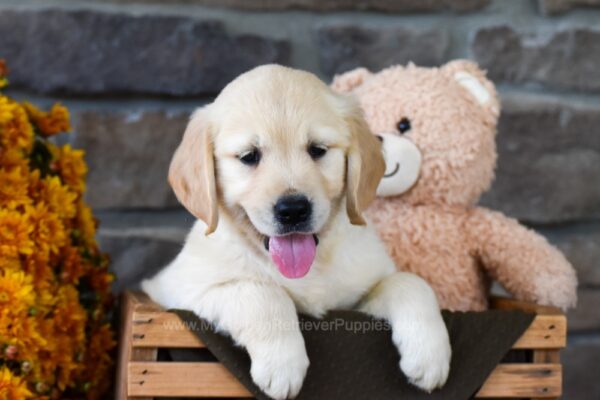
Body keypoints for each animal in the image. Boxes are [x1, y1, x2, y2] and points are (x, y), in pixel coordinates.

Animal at [142, 64, 450, 398]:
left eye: (317, 150)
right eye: (249, 156)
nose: (293, 210)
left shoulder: (357, 299)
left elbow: (410, 282)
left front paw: (430, 355)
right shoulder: (180, 291)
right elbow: (262, 292)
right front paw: (282, 364)